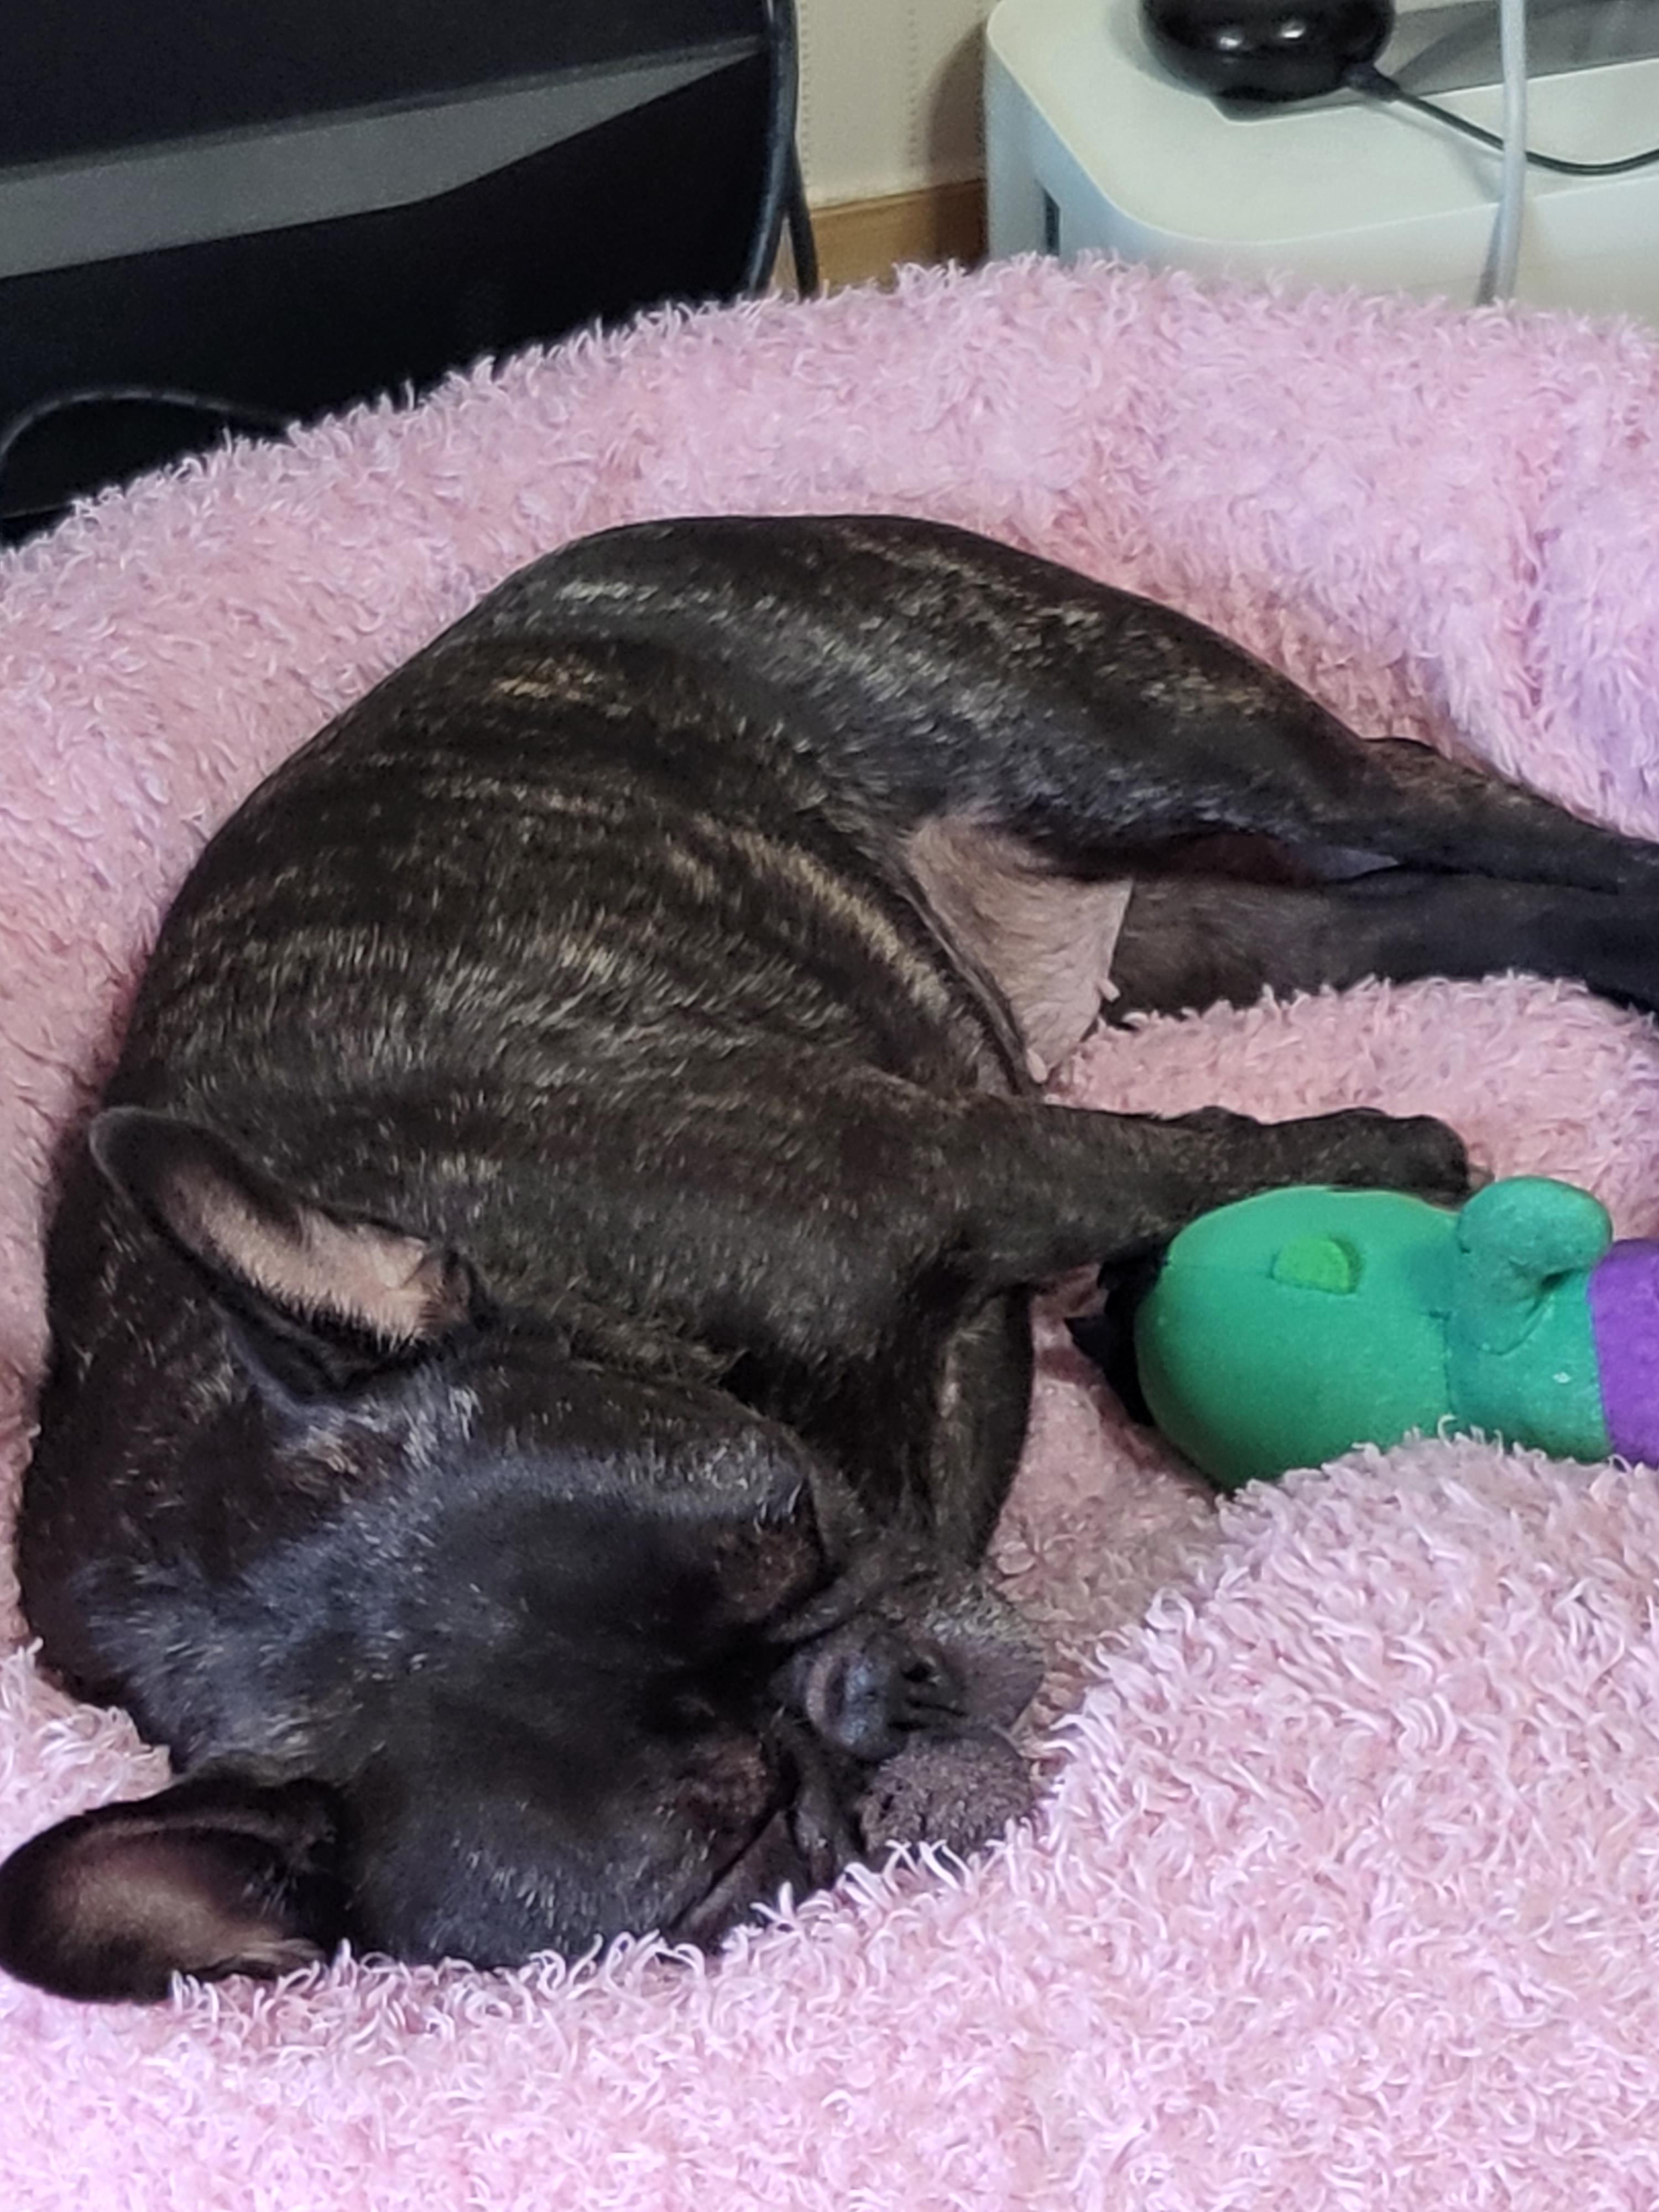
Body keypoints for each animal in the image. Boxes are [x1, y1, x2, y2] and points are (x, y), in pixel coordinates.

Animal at [4, 513, 1658, 2003]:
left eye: (791, 1521)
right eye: (729, 1852)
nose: (886, 1686)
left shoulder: (947, 1165)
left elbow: (1171, 1160)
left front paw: (1397, 1158)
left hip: (1159, 736)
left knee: (1443, 802)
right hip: (1206, 936)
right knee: (1425, 911)